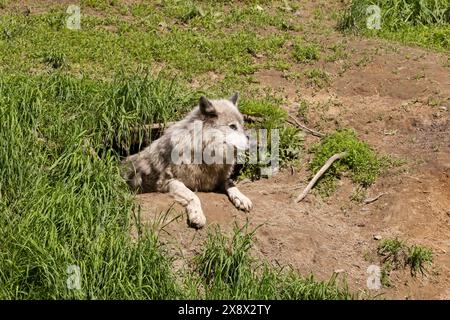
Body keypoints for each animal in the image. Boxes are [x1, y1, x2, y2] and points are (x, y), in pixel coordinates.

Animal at [121, 92, 253, 228]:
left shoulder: (218, 179)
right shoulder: (169, 182)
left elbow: (231, 183)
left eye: (242, 126)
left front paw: (241, 198)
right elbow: (193, 196)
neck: (203, 152)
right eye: (232, 126)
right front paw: (197, 216)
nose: (251, 144)